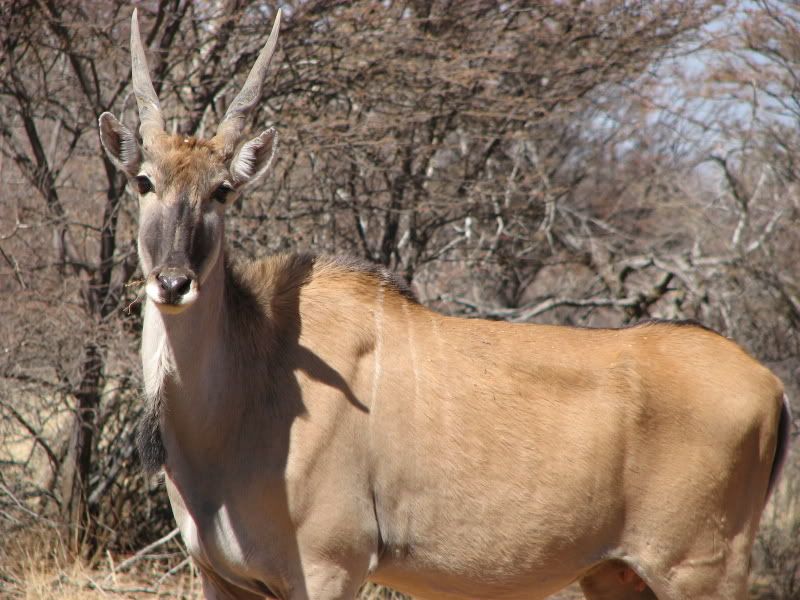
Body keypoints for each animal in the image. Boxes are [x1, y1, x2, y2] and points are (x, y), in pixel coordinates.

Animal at [97, 9, 792, 600]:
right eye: (144, 181)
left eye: (222, 191)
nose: (173, 282)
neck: (253, 380)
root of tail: (771, 386)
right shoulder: (222, 577)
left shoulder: (329, 567)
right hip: (617, 576)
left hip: (699, 573)